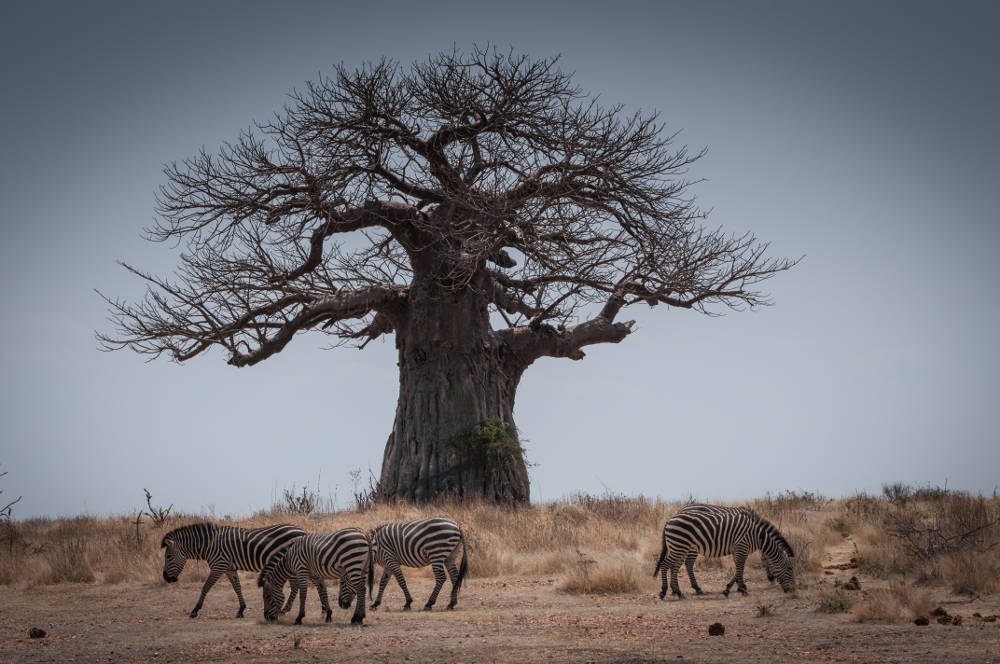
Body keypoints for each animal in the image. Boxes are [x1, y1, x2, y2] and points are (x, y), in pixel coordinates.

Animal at [160, 520, 304, 620]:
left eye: (168, 557)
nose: (166, 578)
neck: (209, 544)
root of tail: (302, 530)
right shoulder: (229, 568)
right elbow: (237, 587)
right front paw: (241, 610)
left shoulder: (218, 565)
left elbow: (206, 587)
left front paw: (195, 610)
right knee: (295, 585)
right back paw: (285, 609)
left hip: (288, 563)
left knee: (295, 585)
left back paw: (284, 610)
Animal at [648, 504, 796, 600]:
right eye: (790, 568)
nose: (793, 590)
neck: (757, 535)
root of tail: (670, 519)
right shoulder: (742, 547)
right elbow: (740, 568)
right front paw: (742, 589)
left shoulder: (738, 550)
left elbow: (737, 569)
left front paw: (729, 589)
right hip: (681, 546)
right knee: (667, 564)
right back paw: (665, 591)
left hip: (679, 546)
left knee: (674, 566)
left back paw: (678, 592)